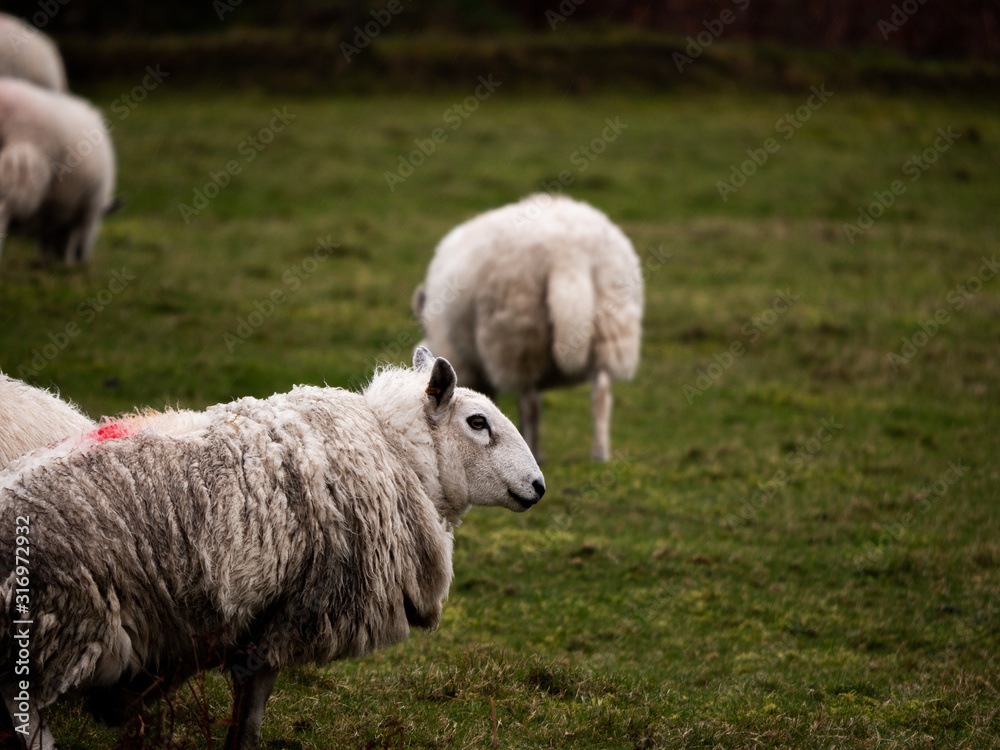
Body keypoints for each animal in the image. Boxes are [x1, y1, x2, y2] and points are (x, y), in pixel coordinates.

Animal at [1, 350, 548, 750]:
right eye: (477, 422)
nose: (539, 486)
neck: (397, 453)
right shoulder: (292, 613)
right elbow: (251, 712)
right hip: (56, 628)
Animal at [412, 192, 640, 464]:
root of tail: (566, 251)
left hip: (518, 335)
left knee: (530, 403)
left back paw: (535, 449)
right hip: (610, 328)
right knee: (601, 394)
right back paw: (600, 453)